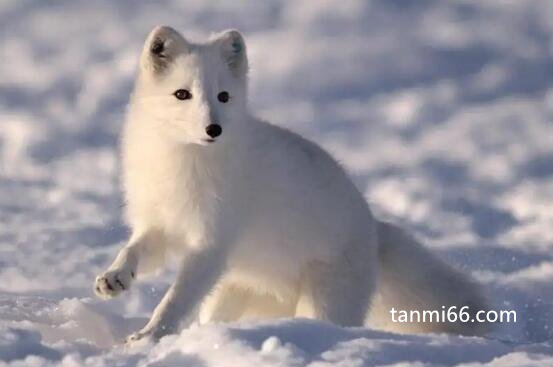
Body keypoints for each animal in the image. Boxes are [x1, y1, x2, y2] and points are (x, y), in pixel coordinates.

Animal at [92, 25, 490, 342]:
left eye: (224, 96)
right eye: (182, 94)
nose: (213, 129)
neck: (181, 161)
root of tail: (374, 232)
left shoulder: (210, 244)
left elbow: (174, 300)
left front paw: (148, 336)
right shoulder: (158, 222)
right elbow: (134, 251)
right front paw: (114, 279)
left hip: (323, 300)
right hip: (236, 290)